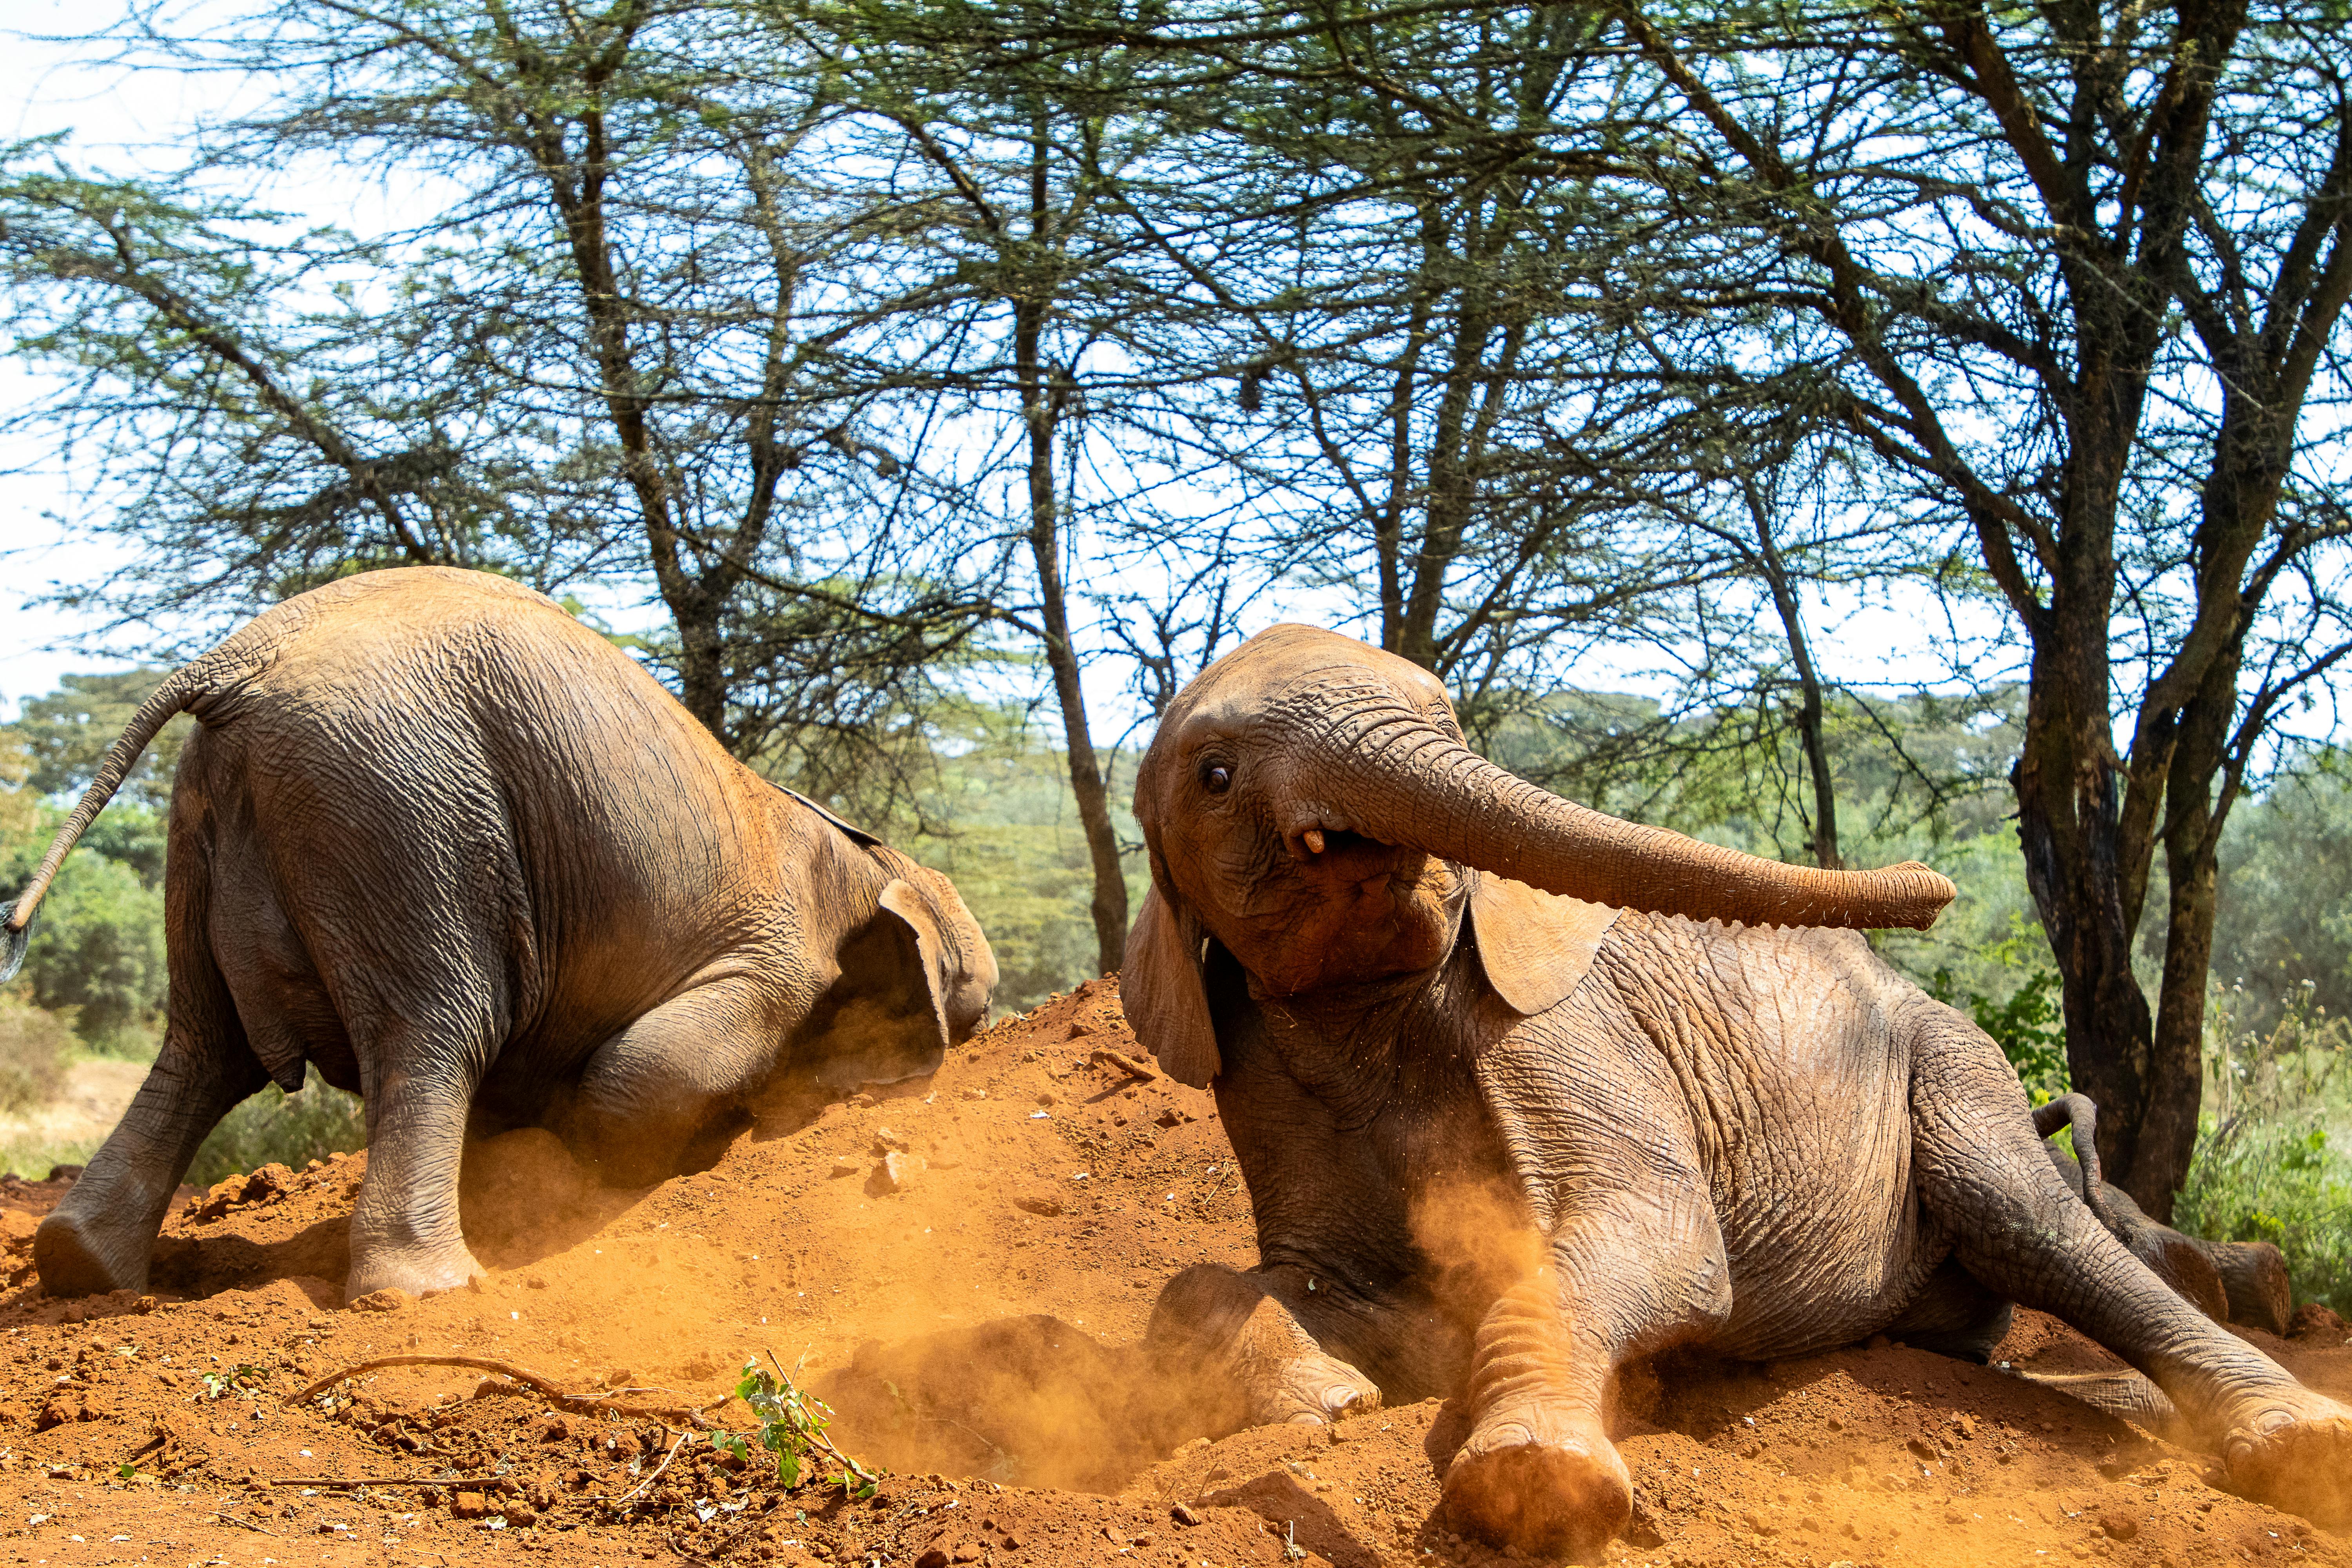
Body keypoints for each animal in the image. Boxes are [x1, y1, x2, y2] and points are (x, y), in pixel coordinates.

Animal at [1, 567, 996, 1303]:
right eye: (981, 1012)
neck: (867, 856)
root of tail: (236, 658)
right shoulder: (779, 951)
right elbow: (649, 1072)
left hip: (212, 812)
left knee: (202, 1048)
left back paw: (81, 1268)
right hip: (405, 801)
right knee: (438, 1031)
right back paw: (431, 1293)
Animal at [1122, 623, 2350, 1558]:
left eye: (1453, 726)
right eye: (1215, 776)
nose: (1939, 892)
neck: (1373, 998)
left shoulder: (1567, 1022)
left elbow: (1651, 1233)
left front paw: (1534, 1483)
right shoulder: (1259, 1061)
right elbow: (1257, 1283)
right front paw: (1331, 1397)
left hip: (1954, 1068)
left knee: (2033, 1225)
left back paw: (2300, 1449)